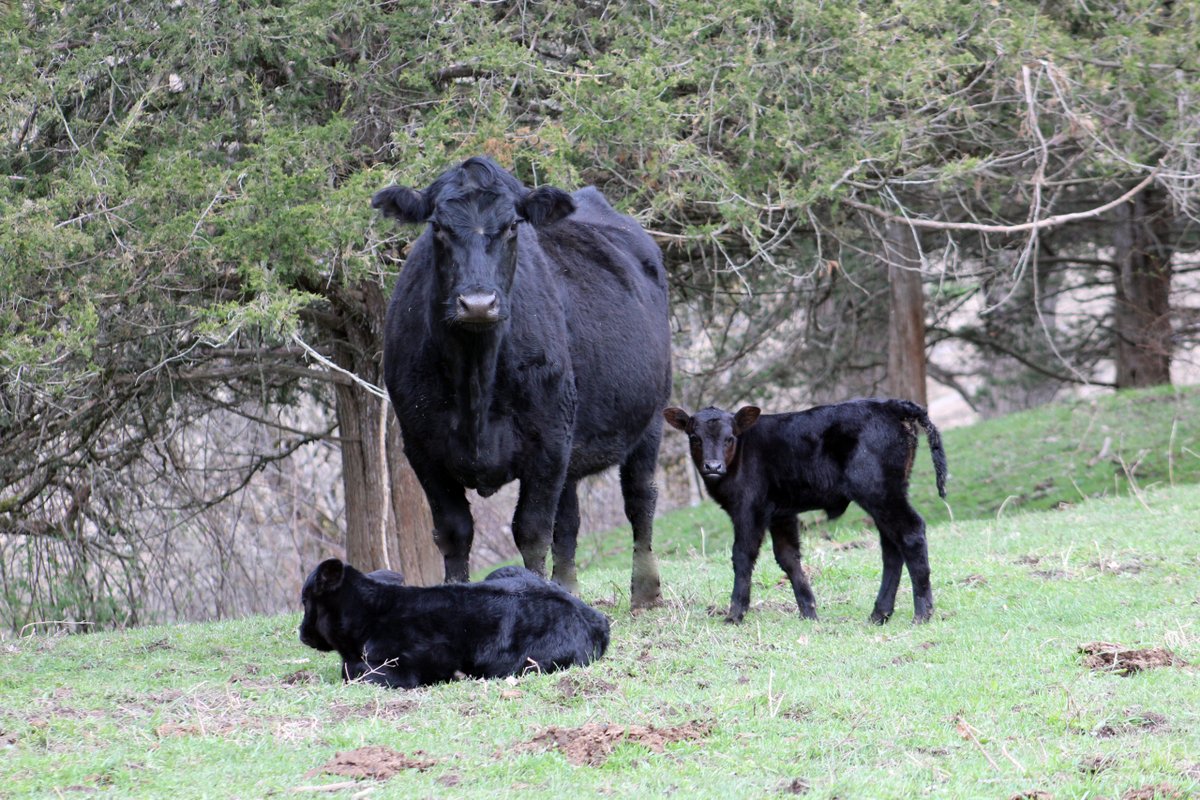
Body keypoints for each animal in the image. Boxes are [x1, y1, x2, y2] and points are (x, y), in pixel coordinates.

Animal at [372, 156, 671, 608]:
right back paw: (569, 588)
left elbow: (531, 531)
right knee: (569, 518)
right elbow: (455, 531)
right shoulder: (422, 448)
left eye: (513, 225)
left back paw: (645, 592)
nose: (478, 303)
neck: (476, 380)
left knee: (640, 499)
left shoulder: (546, 442)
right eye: (437, 227)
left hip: (649, 418)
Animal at [663, 399, 948, 625]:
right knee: (891, 546)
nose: (713, 466)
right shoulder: (781, 512)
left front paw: (734, 615)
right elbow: (788, 556)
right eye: (695, 438)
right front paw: (808, 611)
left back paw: (922, 613)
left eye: (729, 438)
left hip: (878, 490)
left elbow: (742, 556)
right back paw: (879, 614)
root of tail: (890, 405)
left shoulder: (748, 508)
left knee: (910, 532)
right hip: (885, 494)